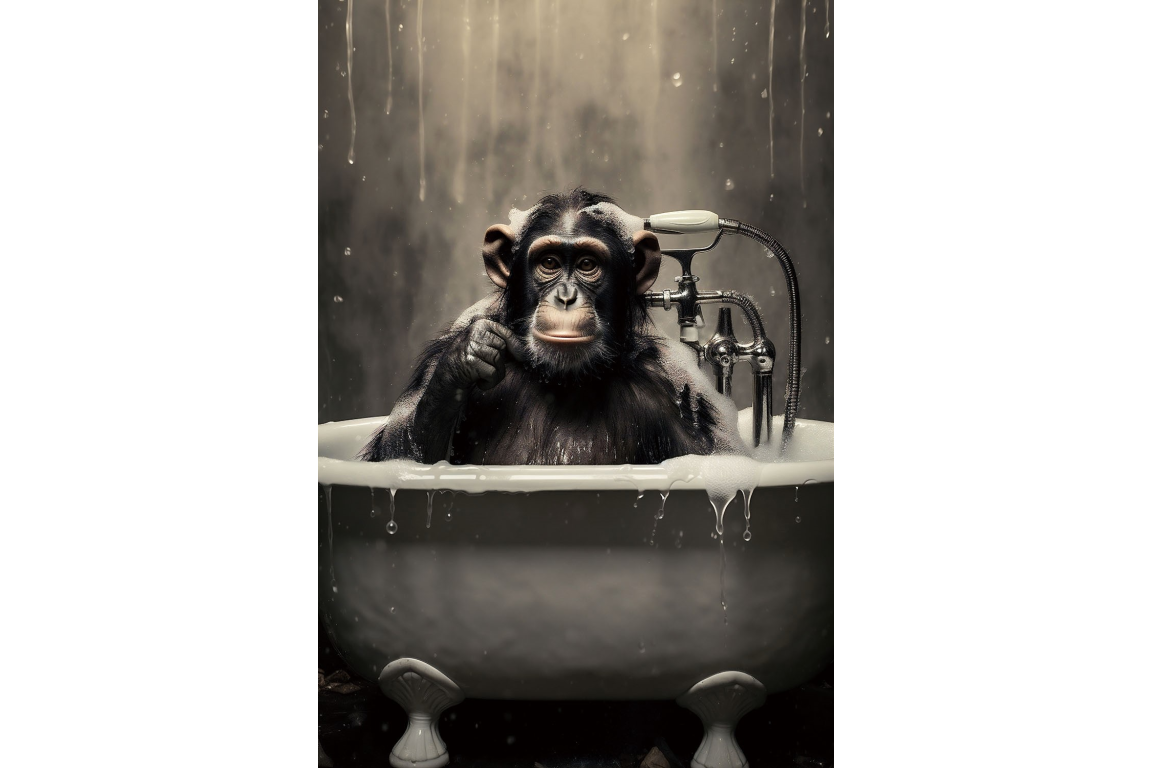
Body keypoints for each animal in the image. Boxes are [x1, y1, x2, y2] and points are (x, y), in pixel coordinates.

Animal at [359, 188, 747, 465]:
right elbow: (400, 452)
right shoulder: (433, 362)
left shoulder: (682, 391)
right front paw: (468, 355)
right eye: (549, 263)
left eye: (588, 265)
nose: (565, 296)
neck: (563, 380)